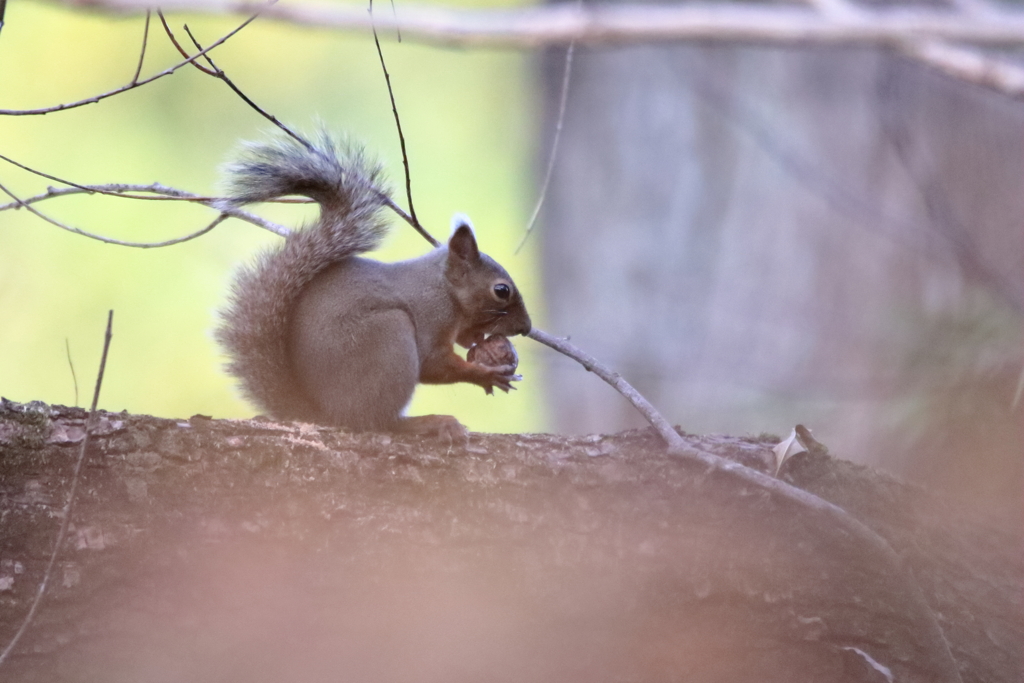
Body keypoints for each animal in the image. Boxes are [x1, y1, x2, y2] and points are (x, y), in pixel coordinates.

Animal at [217, 133, 536, 438]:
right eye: (501, 290)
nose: (526, 328)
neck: (442, 288)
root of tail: (326, 414)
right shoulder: (431, 317)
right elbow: (432, 364)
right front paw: (485, 374)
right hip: (389, 338)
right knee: (377, 422)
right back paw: (425, 423)